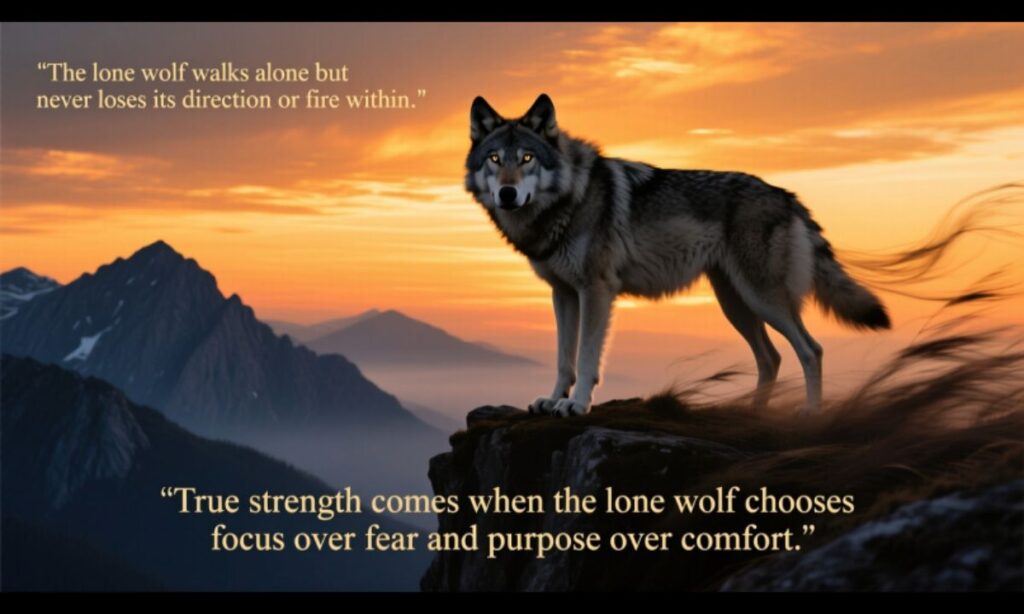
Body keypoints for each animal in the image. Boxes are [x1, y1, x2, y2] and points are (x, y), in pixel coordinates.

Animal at [465, 94, 891, 417]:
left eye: (527, 158)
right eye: (495, 159)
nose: (507, 194)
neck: (570, 198)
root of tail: (787, 196)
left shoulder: (596, 291)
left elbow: (585, 358)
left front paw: (577, 406)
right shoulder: (564, 293)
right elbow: (562, 359)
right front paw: (553, 401)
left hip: (763, 299)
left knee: (810, 350)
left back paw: (810, 414)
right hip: (736, 303)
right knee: (771, 358)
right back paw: (753, 413)